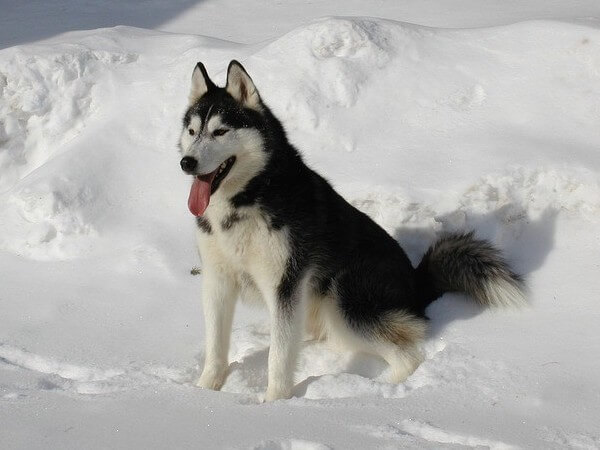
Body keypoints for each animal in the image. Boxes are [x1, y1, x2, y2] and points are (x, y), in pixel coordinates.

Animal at [178, 59, 524, 400]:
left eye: (220, 131)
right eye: (192, 131)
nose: (186, 162)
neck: (247, 199)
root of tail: (416, 280)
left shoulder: (285, 286)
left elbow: (278, 359)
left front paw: (275, 403)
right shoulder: (218, 281)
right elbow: (216, 347)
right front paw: (203, 392)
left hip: (344, 300)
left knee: (408, 356)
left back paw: (374, 393)